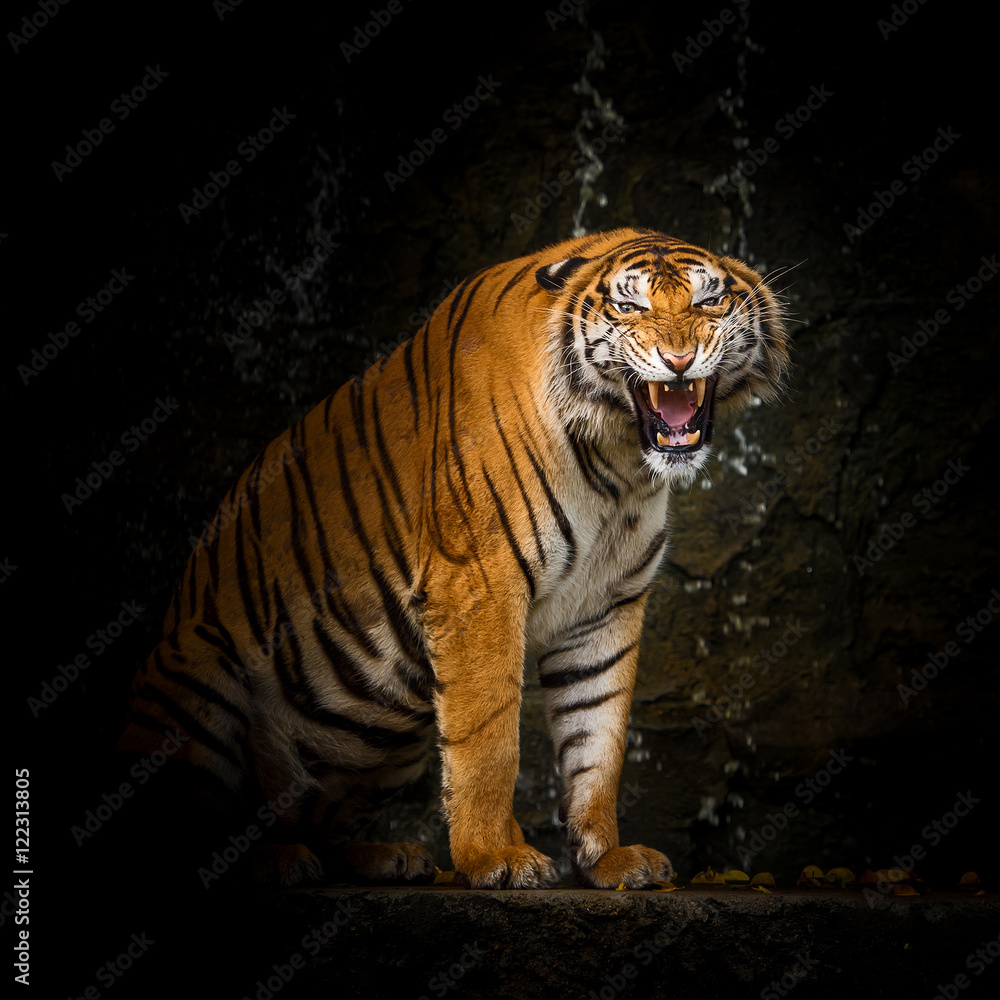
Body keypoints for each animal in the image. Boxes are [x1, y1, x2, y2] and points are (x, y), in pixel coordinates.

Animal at [117, 226, 789, 890]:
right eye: (630, 307)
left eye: (708, 301)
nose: (679, 360)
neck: (620, 460)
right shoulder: (479, 584)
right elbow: (489, 742)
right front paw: (499, 858)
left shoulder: (606, 605)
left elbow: (599, 741)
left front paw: (609, 862)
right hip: (198, 671)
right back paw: (271, 861)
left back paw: (384, 857)